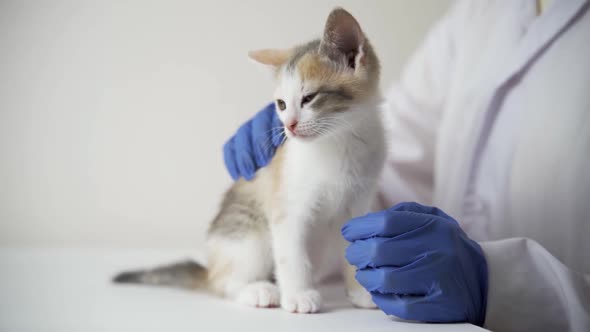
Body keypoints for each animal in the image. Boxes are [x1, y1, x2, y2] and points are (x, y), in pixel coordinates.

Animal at [114, 8, 388, 314]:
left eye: (309, 98)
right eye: (281, 105)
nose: (289, 126)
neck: (340, 142)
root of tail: (210, 267)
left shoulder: (359, 204)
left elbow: (355, 248)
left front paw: (361, 292)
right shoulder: (287, 207)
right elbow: (291, 255)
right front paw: (298, 295)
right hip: (248, 233)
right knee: (223, 281)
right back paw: (257, 289)